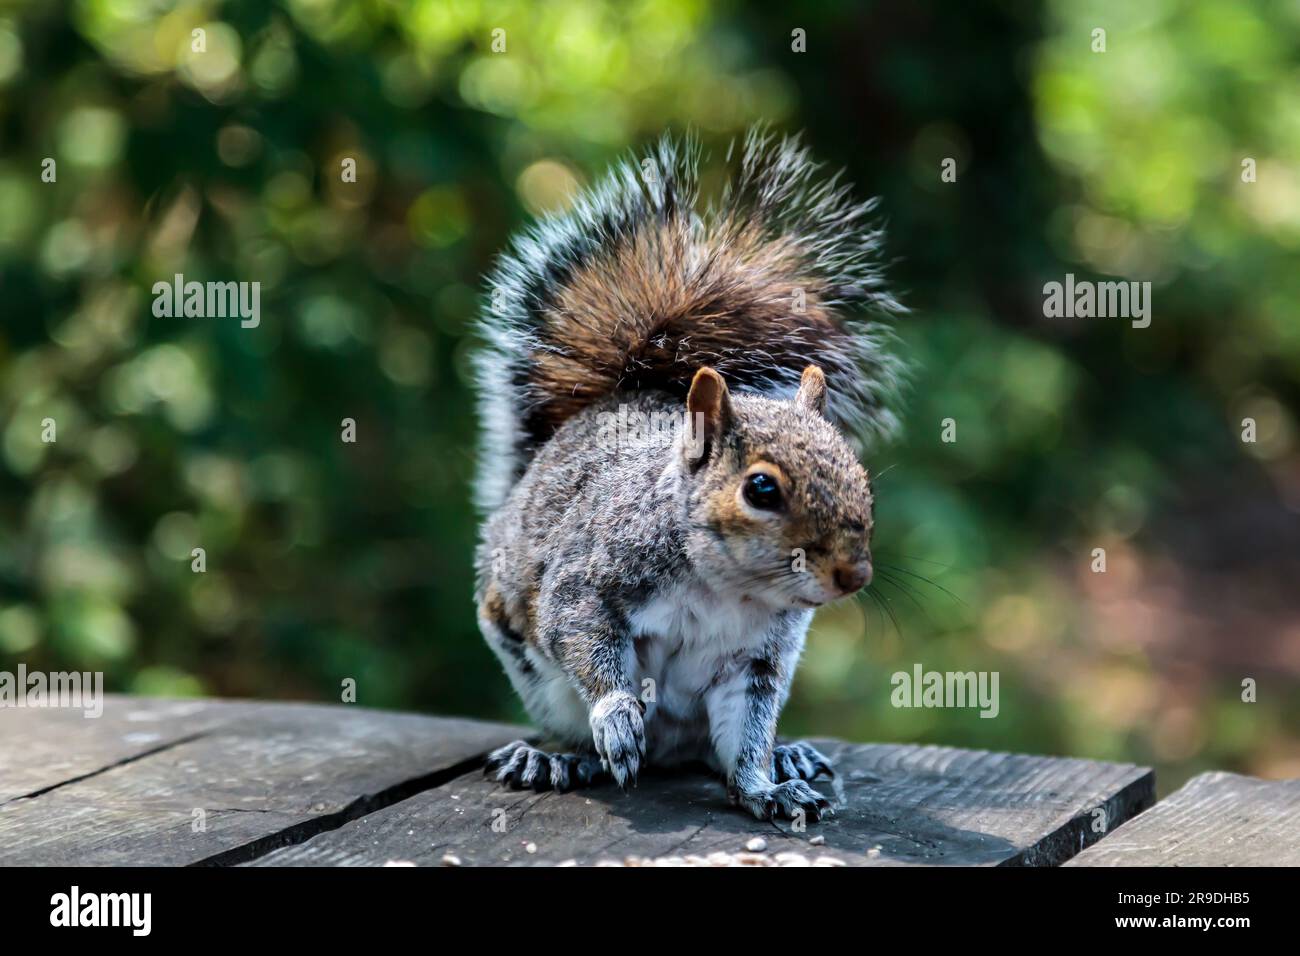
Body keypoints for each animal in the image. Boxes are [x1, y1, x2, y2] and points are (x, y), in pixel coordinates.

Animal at [473, 130, 903, 822]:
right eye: (761, 488)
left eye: (863, 480)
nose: (854, 575)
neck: (728, 587)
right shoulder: (587, 579)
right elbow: (580, 633)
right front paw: (617, 717)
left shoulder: (758, 663)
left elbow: (747, 735)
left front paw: (764, 788)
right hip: (541, 683)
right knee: (578, 730)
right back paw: (557, 757)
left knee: (711, 749)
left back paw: (787, 757)